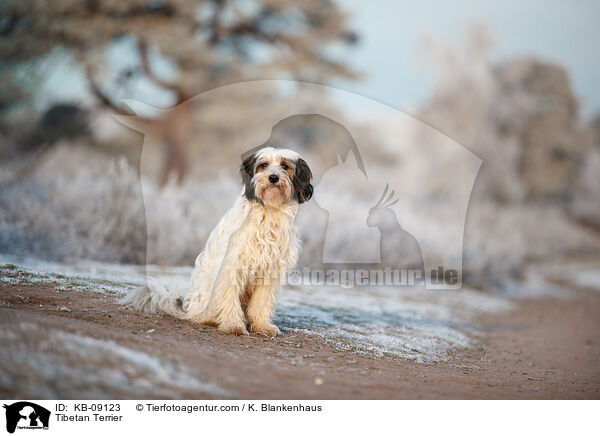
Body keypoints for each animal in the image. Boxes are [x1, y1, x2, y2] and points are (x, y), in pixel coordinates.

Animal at [119, 147, 312, 338]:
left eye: (285, 166)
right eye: (263, 165)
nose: (273, 177)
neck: (269, 211)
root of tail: (188, 306)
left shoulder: (270, 272)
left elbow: (262, 302)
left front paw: (261, 326)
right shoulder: (232, 266)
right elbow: (229, 297)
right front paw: (233, 325)